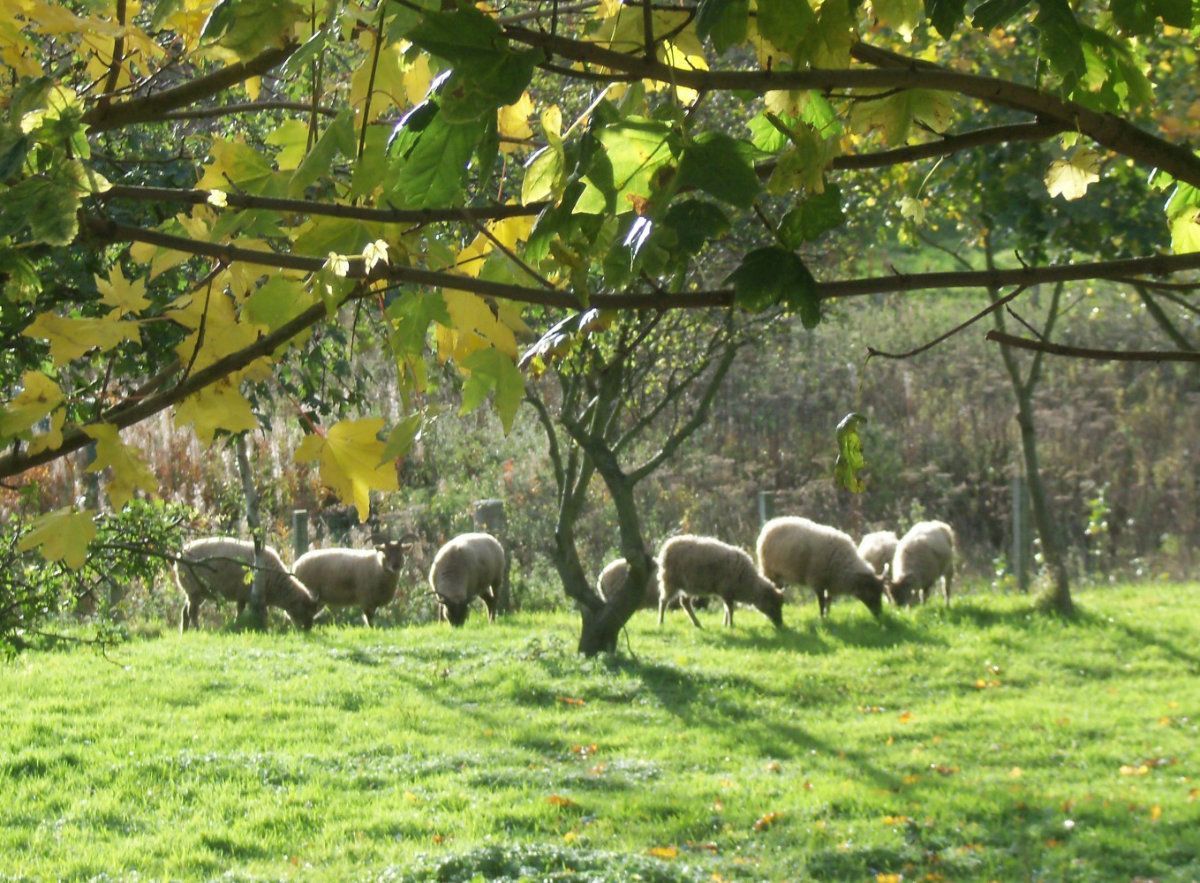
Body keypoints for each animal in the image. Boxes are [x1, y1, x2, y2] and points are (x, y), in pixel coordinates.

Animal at [174, 537, 318, 632]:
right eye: (307, 611)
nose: (308, 629)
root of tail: (179, 555)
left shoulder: (245, 596)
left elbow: (242, 611)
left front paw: (237, 624)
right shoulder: (246, 594)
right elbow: (252, 612)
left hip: (198, 591)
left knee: (185, 611)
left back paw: (185, 632)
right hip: (194, 588)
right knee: (192, 612)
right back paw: (197, 629)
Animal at [756, 517, 885, 618]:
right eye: (871, 592)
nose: (879, 614)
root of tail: (770, 524)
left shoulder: (830, 582)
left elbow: (829, 600)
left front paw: (828, 615)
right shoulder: (817, 581)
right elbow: (822, 601)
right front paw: (822, 618)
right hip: (770, 571)